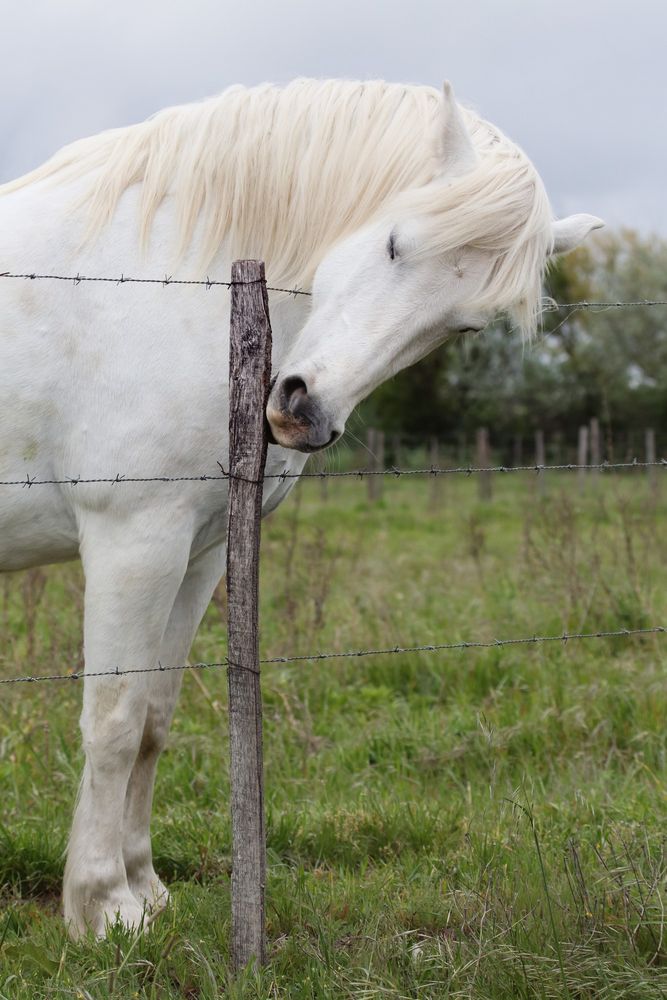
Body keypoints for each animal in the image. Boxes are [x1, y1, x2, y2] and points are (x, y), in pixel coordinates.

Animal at [0, 78, 604, 936]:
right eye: (394, 243)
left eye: (465, 321)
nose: (302, 408)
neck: (181, 280)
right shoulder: (132, 540)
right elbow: (111, 720)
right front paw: (102, 909)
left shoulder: (198, 549)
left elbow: (152, 715)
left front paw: (145, 890)